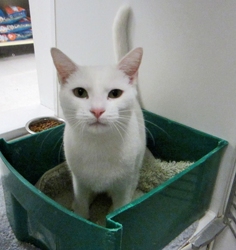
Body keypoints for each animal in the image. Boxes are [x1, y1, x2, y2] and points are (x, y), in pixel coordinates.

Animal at [50, 5, 145, 219]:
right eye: (80, 92)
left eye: (115, 93)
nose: (97, 110)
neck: (98, 146)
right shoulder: (79, 181)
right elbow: (81, 203)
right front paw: (80, 214)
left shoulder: (124, 183)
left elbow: (120, 206)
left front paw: (112, 215)